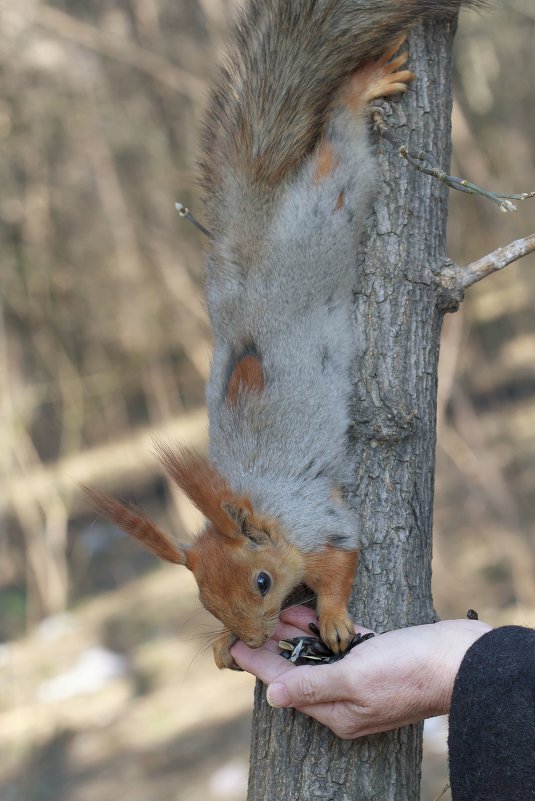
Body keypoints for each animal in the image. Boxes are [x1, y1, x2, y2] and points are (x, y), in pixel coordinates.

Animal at [87, 0, 482, 668]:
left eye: (263, 582)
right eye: (204, 600)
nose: (249, 638)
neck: (257, 501)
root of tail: (254, 230)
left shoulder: (321, 522)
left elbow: (342, 564)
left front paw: (335, 620)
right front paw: (222, 648)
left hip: (330, 201)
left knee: (339, 144)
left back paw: (362, 89)